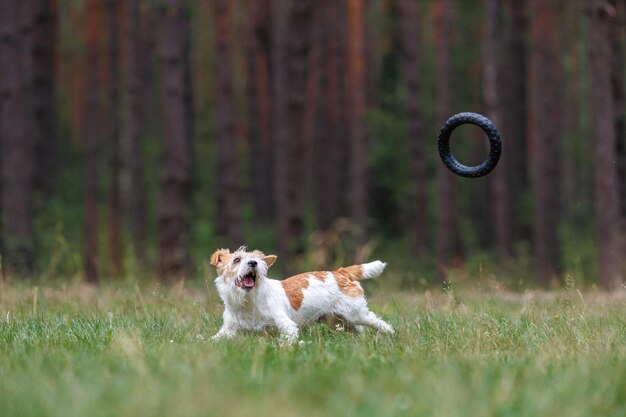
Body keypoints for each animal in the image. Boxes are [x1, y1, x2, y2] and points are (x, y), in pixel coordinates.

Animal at [211, 245, 394, 342]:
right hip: (339, 321)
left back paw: (390, 334)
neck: (249, 301)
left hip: (355, 314)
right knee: (359, 330)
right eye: (236, 260)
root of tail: (341, 272)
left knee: (376, 321)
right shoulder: (229, 329)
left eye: (257, 259)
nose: (253, 263)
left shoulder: (286, 326)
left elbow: (287, 340)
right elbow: (216, 339)